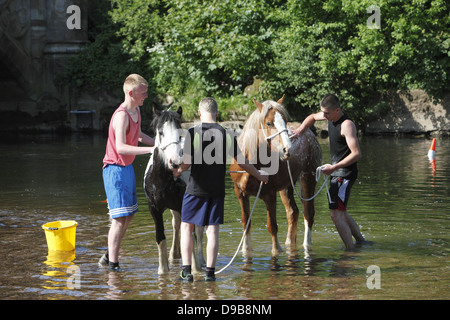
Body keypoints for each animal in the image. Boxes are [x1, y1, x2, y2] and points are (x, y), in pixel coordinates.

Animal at [230, 95, 322, 258]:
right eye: (268, 123)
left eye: (284, 120)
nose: (288, 149)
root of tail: (310, 133)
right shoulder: (240, 194)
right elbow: (246, 223)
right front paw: (246, 250)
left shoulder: (269, 194)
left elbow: (272, 225)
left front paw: (276, 251)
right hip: (286, 187)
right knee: (292, 212)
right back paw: (289, 244)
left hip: (307, 179)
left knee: (308, 214)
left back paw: (306, 246)